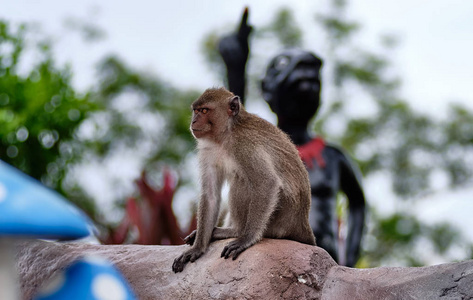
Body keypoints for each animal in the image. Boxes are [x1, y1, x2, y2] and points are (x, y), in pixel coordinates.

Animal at [171, 87, 316, 274]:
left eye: (204, 111)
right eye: (195, 111)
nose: (194, 121)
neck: (226, 135)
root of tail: (303, 223)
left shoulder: (245, 145)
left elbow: (266, 183)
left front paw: (246, 238)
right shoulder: (208, 150)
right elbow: (211, 195)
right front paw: (197, 248)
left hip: (280, 219)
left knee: (243, 182)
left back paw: (235, 231)